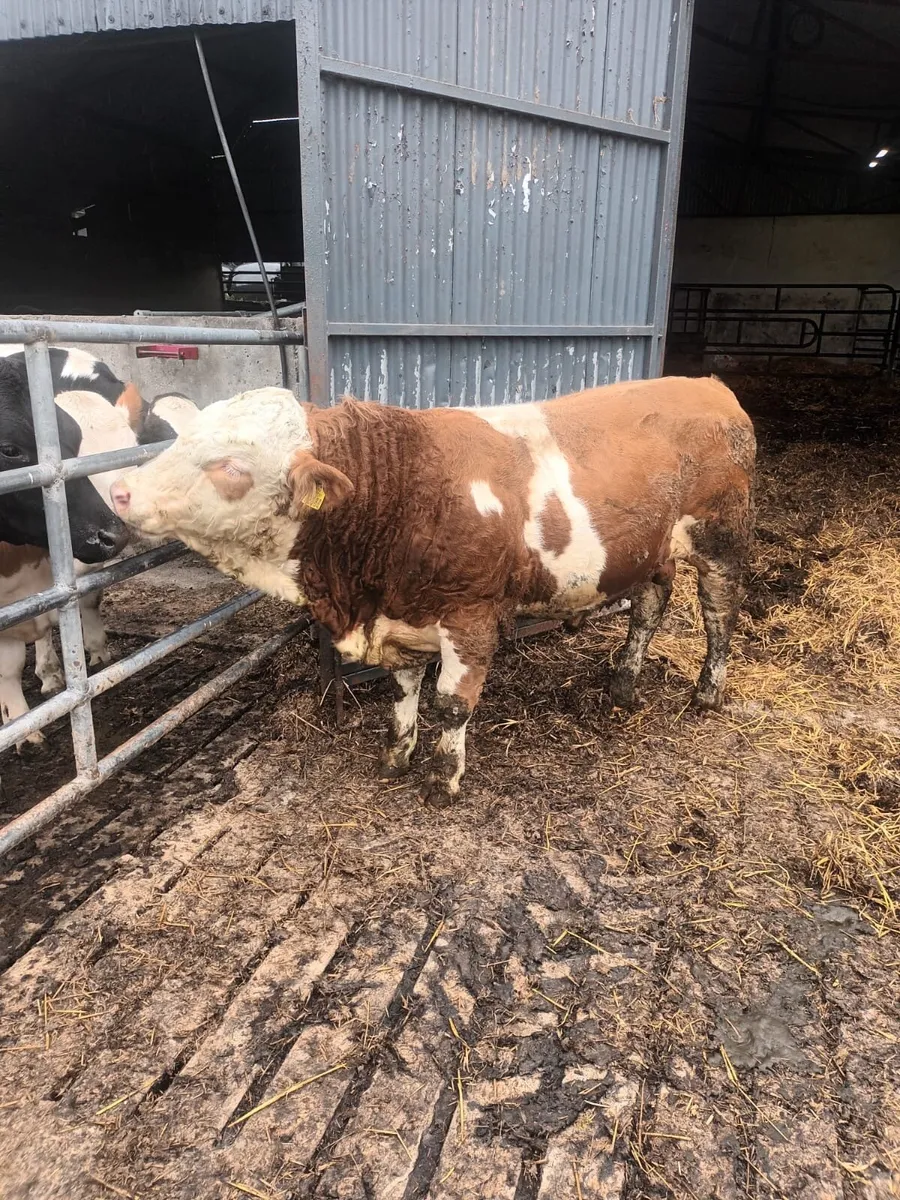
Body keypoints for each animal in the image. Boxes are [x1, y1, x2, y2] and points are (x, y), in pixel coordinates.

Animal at [0, 388, 140, 750]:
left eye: (130, 447)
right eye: (9, 450)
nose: (117, 533)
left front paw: (97, 650)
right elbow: (9, 667)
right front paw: (23, 726)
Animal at [110, 377, 756, 805]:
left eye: (230, 467)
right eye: (181, 438)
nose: (120, 491)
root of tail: (708, 385)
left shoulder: (470, 616)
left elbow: (452, 703)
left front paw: (443, 779)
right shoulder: (404, 615)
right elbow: (402, 691)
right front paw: (396, 757)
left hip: (721, 538)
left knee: (719, 612)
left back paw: (708, 692)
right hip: (652, 548)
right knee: (649, 604)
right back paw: (622, 684)